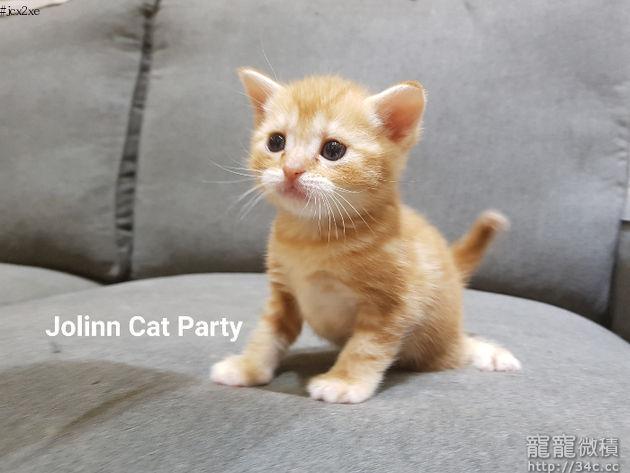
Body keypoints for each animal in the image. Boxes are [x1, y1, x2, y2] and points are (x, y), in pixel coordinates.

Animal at [210, 68, 521, 403]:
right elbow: (267, 333)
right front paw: (248, 366)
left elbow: (365, 348)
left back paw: (491, 353)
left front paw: (343, 381)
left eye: (333, 150)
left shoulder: (393, 304)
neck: (311, 239)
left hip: (437, 343)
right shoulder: (283, 294)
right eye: (276, 141)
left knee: (458, 348)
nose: (291, 169)